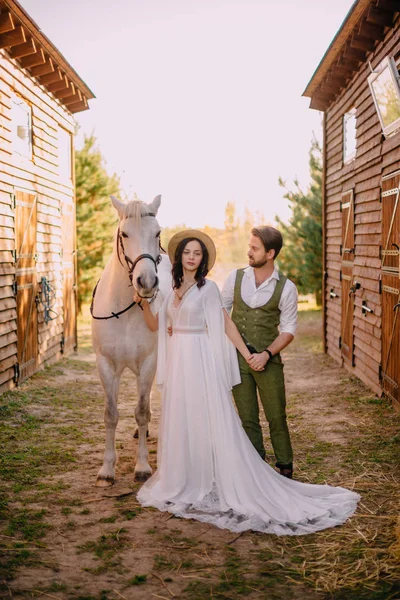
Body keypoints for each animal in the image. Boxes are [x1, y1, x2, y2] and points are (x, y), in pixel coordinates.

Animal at [92, 195, 170, 486]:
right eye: (124, 234)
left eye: (157, 232)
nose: (146, 282)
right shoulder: (106, 365)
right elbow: (111, 415)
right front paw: (106, 470)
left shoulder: (148, 363)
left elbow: (142, 411)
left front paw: (143, 467)